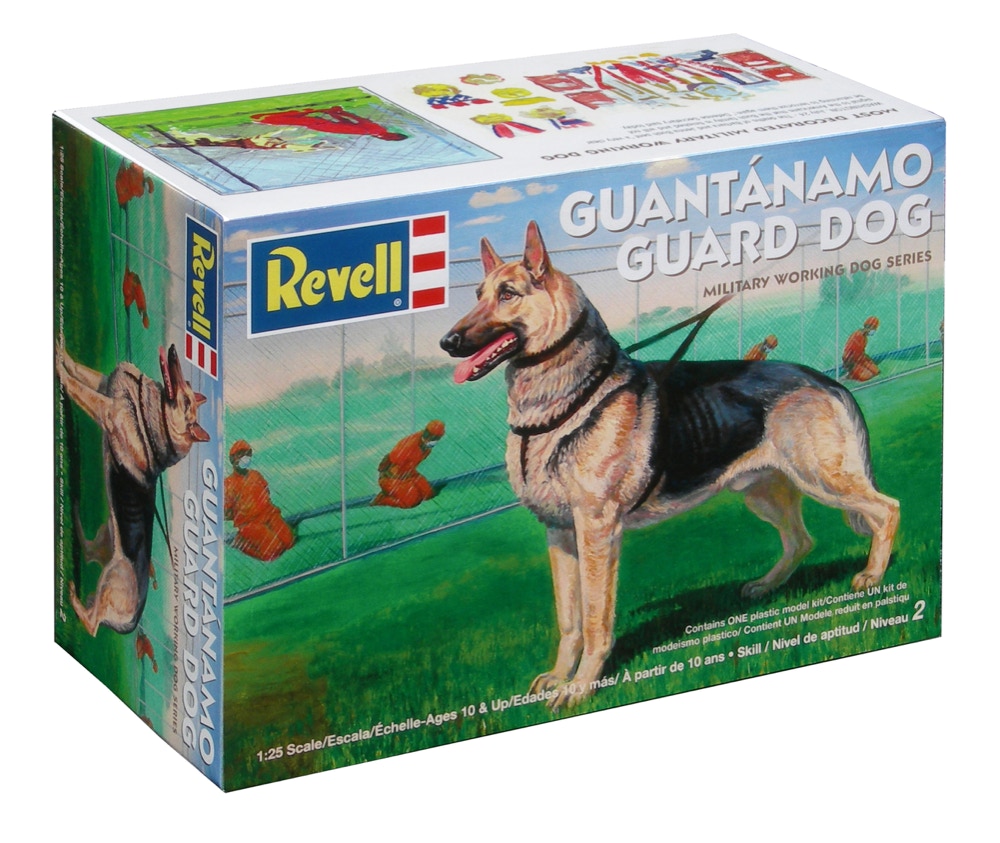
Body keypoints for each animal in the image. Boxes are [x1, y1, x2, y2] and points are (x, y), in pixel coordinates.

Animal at [57, 343, 209, 635]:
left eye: (186, 401)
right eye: (185, 387)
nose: (174, 351)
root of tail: (133, 619)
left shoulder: (105, 408)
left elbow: (75, 385)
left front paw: (58, 369)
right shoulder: (104, 384)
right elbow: (77, 368)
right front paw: (60, 352)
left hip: (112, 578)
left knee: (92, 625)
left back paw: (73, 600)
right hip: (106, 534)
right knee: (89, 552)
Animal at [440, 221, 900, 711]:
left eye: (507, 294)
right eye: (477, 294)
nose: (447, 342)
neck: (566, 400)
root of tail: (824, 380)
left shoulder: (597, 533)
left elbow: (595, 620)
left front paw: (580, 688)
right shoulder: (560, 534)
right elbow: (568, 619)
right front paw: (561, 676)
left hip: (823, 479)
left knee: (885, 509)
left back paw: (873, 575)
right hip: (763, 494)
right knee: (801, 540)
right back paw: (766, 587)